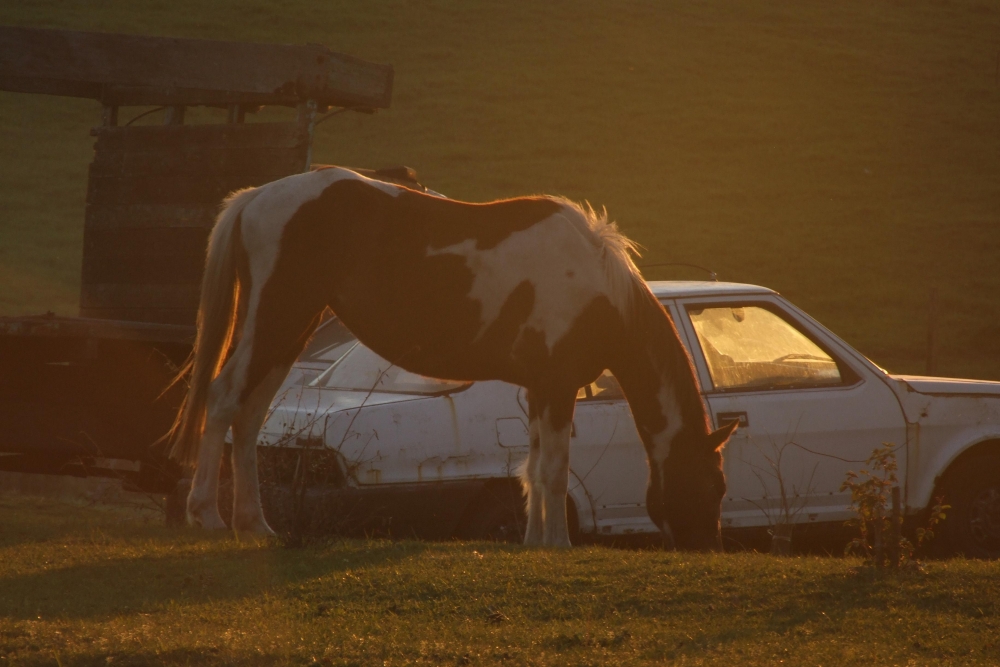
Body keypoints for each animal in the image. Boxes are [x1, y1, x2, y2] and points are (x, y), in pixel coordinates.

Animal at [170, 166, 736, 548]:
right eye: (715, 484)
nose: (707, 546)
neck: (597, 286)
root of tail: (258, 196)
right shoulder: (557, 386)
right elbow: (554, 469)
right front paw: (558, 544)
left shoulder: (538, 388)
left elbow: (532, 467)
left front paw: (534, 543)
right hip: (275, 321)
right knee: (223, 399)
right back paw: (207, 516)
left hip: (288, 331)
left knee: (248, 416)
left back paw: (254, 524)